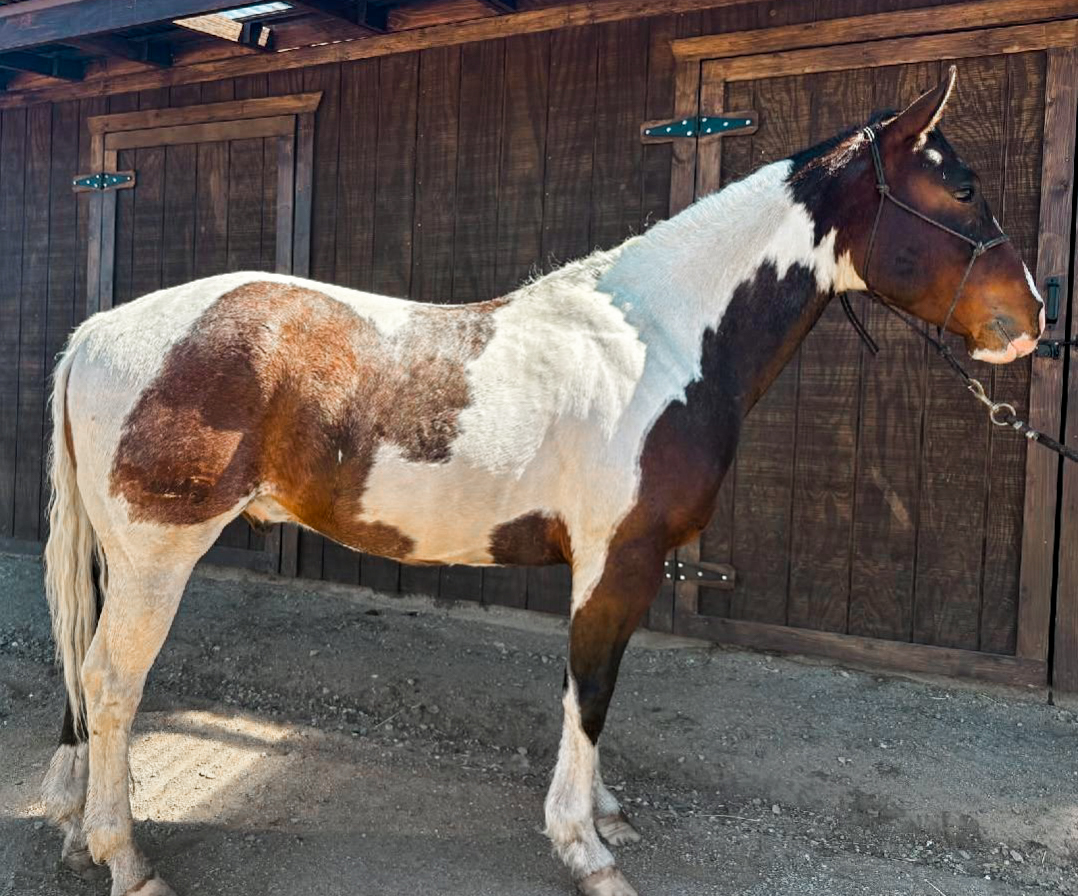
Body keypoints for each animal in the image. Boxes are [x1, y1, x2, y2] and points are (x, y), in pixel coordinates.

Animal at [39, 66, 1043, 896]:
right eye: (961, 188)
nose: (1033, 316)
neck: (662, 342)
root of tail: (97, 332)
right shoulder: (619, 559)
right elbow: (590, 689)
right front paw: (584, 849)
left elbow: (585, 689)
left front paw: (603, 817)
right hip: (158, 557)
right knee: (114, 682)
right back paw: (125, 858)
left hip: (120, 558)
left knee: (85, 677)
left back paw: (74, 829)